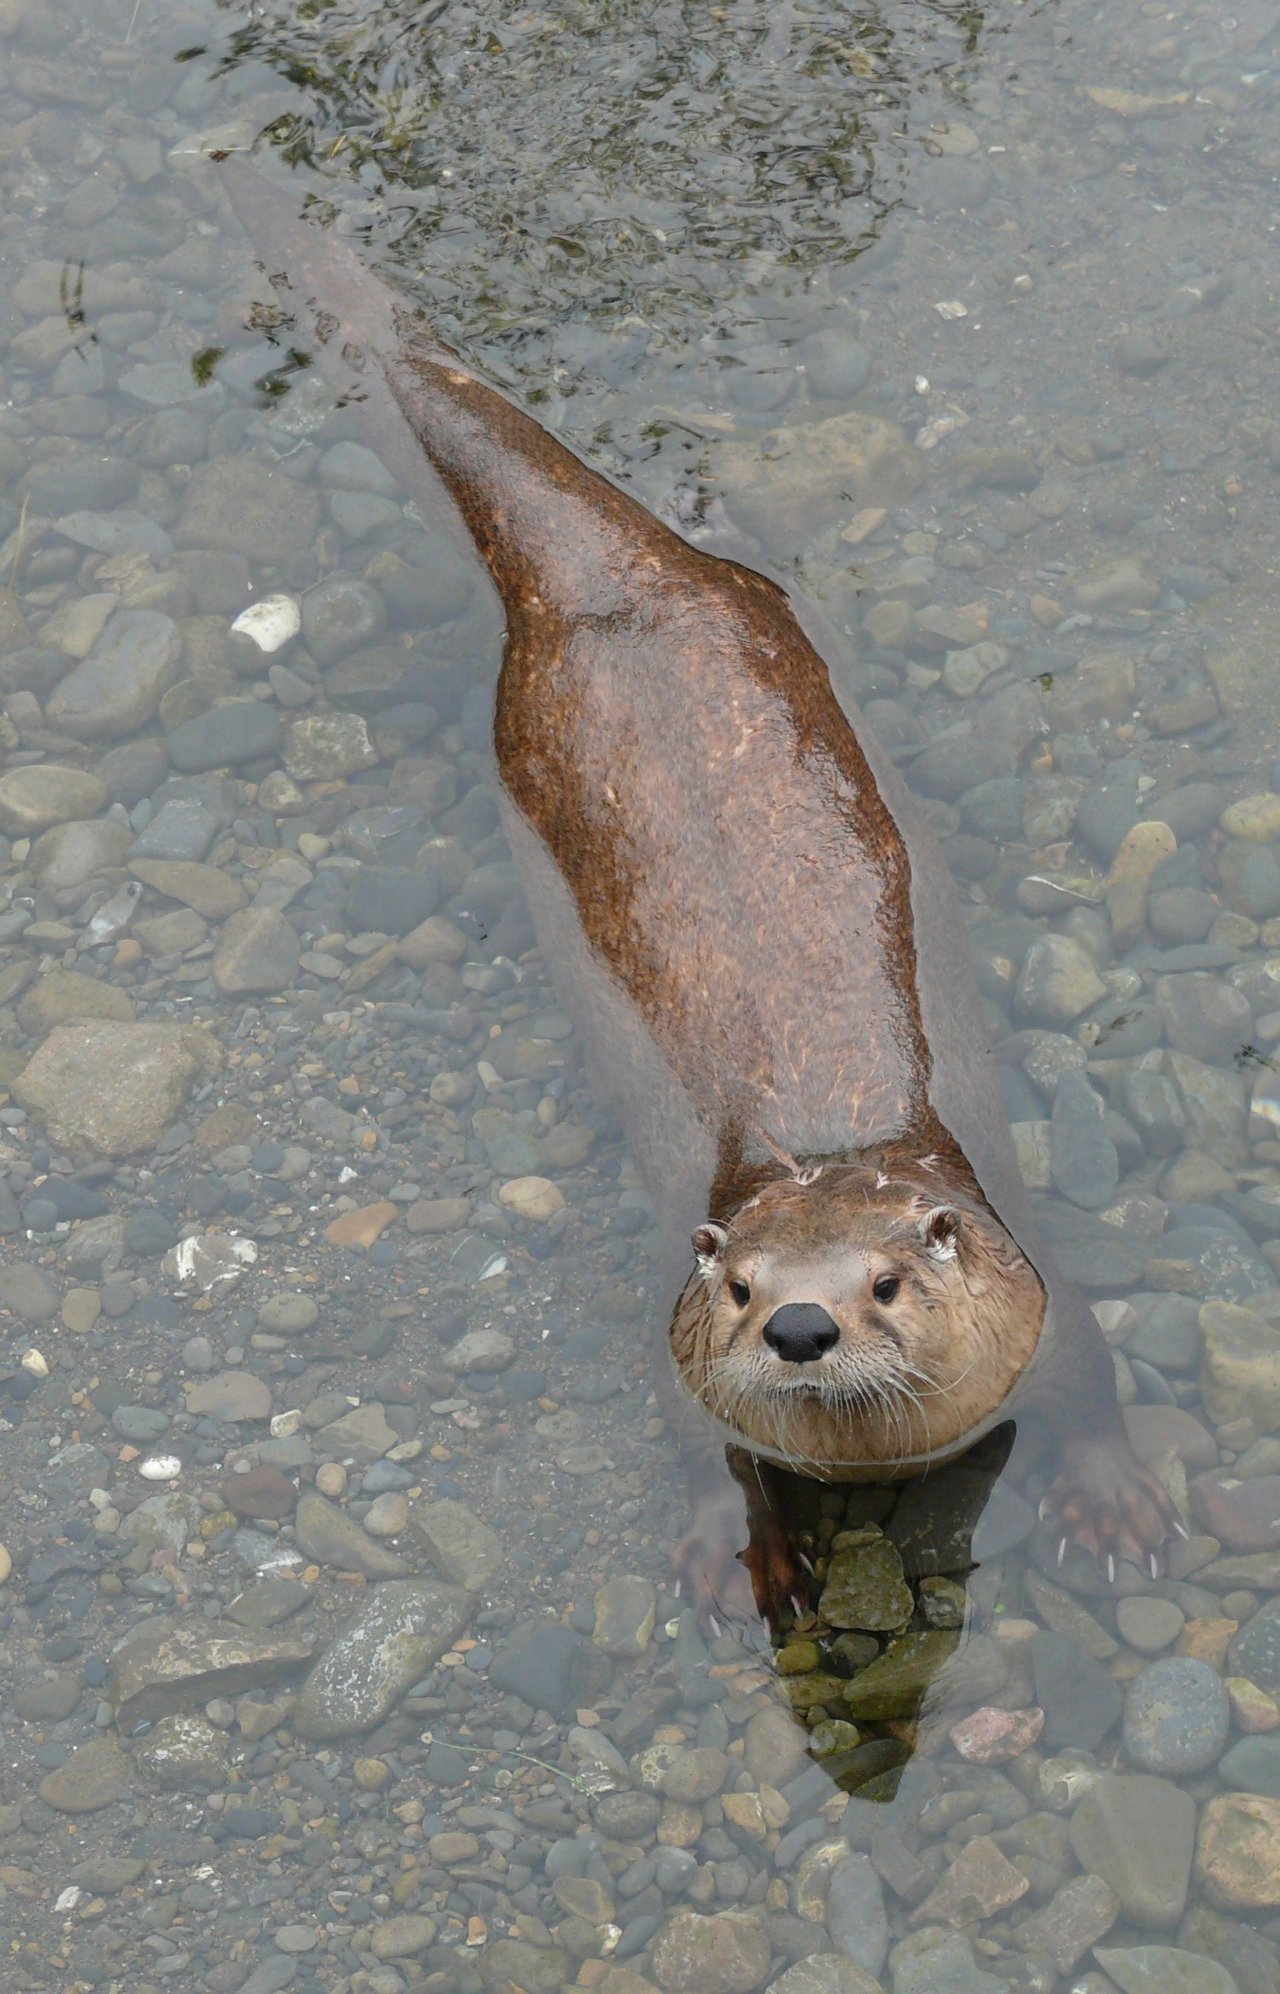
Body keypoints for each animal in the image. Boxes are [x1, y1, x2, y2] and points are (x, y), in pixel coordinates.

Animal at [221, 155, 1180, 1619]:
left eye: (884, 1279)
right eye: (737, 1287)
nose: (800, 1321)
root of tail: (623, 573)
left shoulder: (1045, 1308)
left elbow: (1099, 1383)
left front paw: (1116, 1496)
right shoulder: (683, 1370)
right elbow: (696, 1453)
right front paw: (738, 1548)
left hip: (761, 609)